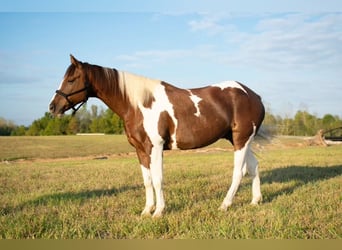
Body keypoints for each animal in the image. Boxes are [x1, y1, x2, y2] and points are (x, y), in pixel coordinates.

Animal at [49, 54, 266, 217]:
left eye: (71, 79)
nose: (53, 107)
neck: (139, 104)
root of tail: (253, 95)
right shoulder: (140, 150)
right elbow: (147, 180)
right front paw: (147, 210)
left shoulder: (156, 147)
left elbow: (158, 179)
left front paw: (159, 211)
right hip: (240, 140)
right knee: (253, 166)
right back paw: (255, 201)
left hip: (241, 140)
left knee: (239, 172)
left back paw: (225, 205)